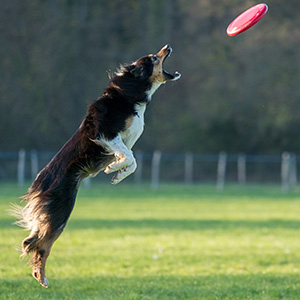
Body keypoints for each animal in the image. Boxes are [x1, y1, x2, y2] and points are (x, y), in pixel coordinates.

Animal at [13, 44, 180, 286]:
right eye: (152, 58)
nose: (167, 46)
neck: (129, 93)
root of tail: (39, 181)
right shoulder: (106, 135)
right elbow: (131, 157)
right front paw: (114, 169)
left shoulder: (121, 141)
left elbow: (133, 163)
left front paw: (117, 173)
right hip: (60, 211)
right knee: (37, 243)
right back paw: (41, 276)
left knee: (34, 241)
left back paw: (39, 275)